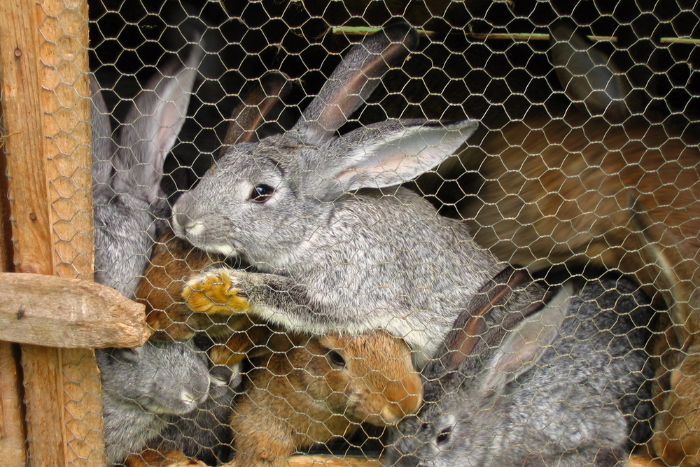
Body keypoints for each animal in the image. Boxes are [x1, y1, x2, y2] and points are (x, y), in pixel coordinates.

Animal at [167, 23, 507, 366]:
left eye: (262, 192)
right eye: (229, 157)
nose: (182, 218)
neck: (321, 228)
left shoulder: (349, 286)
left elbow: (290, 297)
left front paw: (210, 289)